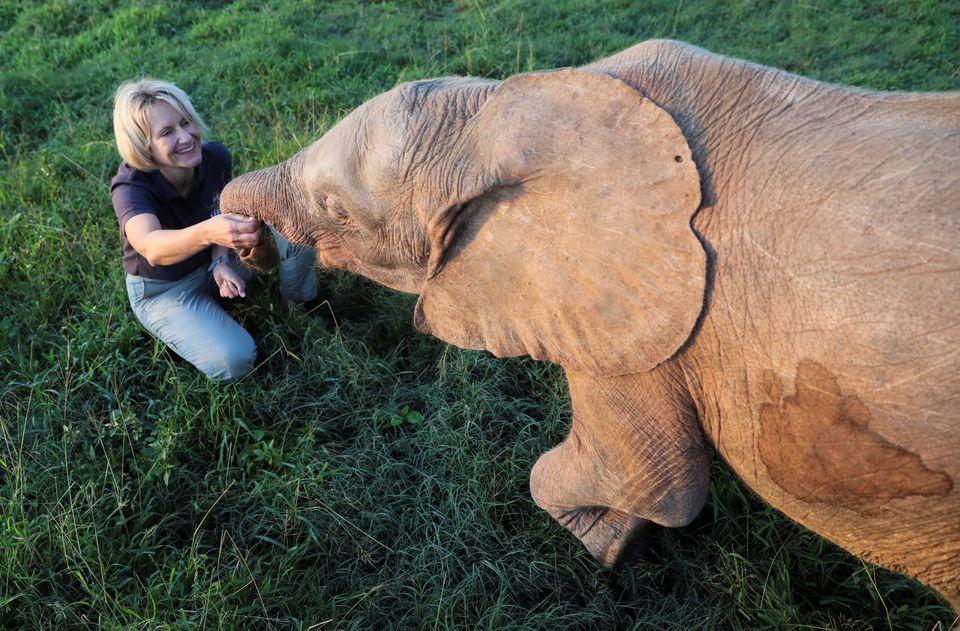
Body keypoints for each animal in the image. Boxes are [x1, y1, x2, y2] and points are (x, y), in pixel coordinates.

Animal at [219, 40, 960, 612]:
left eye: (337, 210)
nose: (244, 242)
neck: (510, 108)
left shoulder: (647, 327)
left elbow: (652, 480)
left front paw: (605, 543)